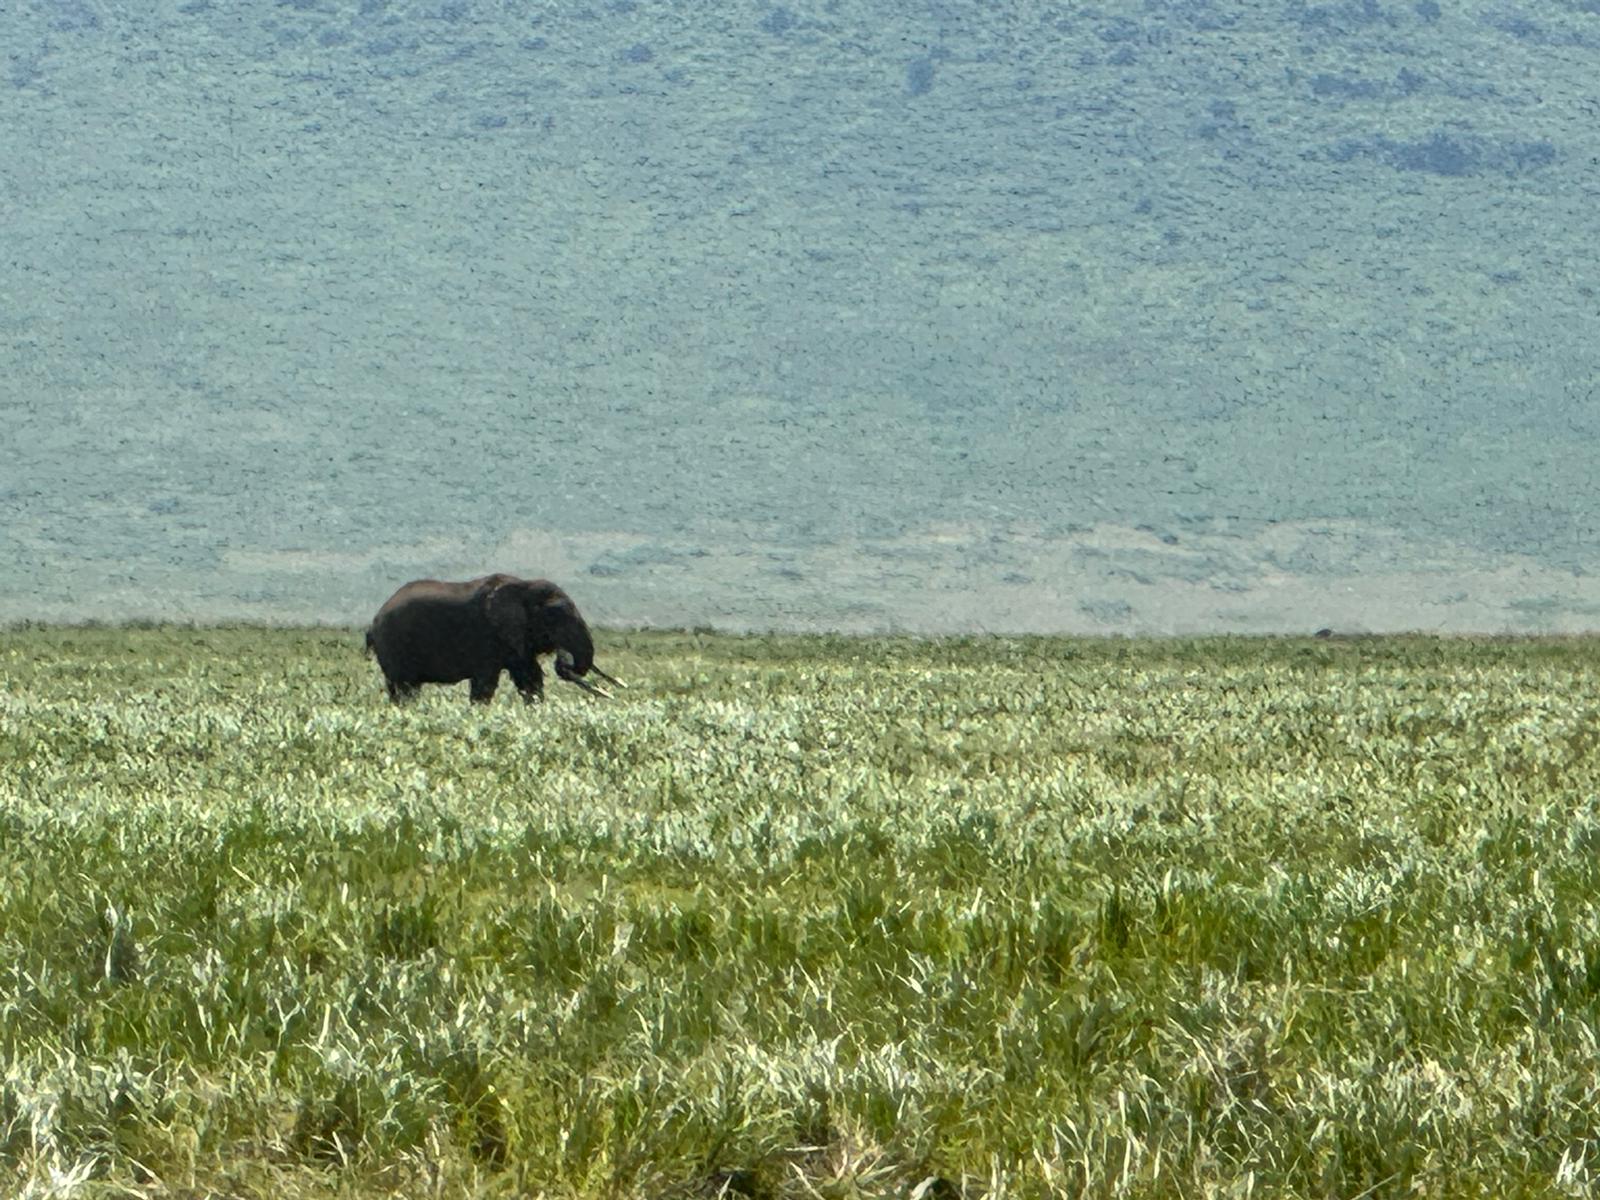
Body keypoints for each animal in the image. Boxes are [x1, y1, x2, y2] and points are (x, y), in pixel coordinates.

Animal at [368, 572, 624, 704]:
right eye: (554, 616)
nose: (614, 691)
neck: (524, 587)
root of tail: (374, 621)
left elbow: (529, 679)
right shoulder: (487, 634)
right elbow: (485, 683)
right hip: (394, 646)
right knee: (405, 688)